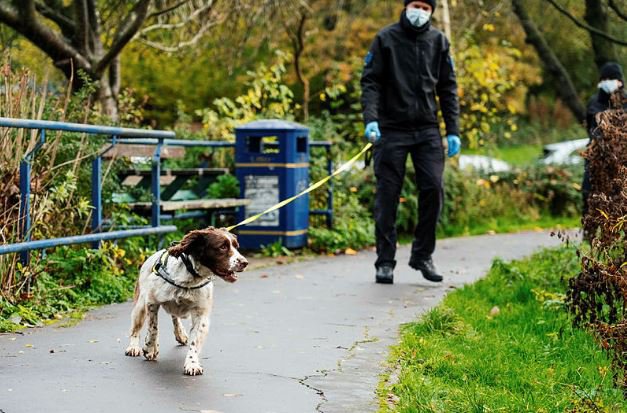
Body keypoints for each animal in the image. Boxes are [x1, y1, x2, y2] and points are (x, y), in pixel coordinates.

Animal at [125, 227, 248, 374]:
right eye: (222, 247)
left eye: (236, 246)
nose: (244, 263)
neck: (190, 278)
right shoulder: (152, 302)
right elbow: (153, 328)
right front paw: (150, 348)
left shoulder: (201, 314)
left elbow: (195, 341)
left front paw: (192, 364)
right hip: (140, 305)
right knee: (136, 328)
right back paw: (133, 347)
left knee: (175, 317)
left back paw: (180, 334)